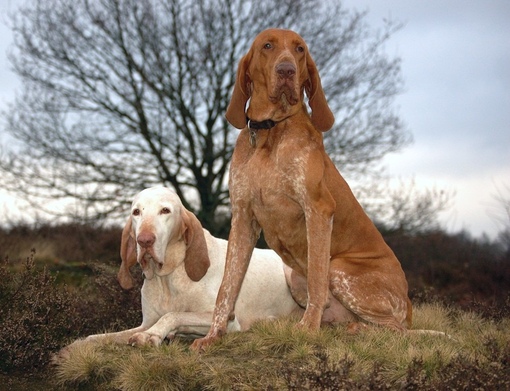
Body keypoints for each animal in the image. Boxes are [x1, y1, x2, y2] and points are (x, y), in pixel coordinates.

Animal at [82, 187, 300, 346]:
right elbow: (97, 338)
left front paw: (154, 335)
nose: (144, 240)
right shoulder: (146, 322)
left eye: (165, 210)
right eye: (136, 212)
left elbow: (174, 315)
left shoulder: (227, 320)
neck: (167, 277)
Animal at [191, 28, 410, 352]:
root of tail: (409, 301)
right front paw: (213, 335)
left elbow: (318, 278)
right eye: (267, 45)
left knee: (397, 329)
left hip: (341, 268)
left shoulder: (317, 209)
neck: (270, 131)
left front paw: (307, 329)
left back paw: (357, 329)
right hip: (294, 275)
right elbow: (227, 287)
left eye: (300, 49)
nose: (287, 70)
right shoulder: (243, 218)